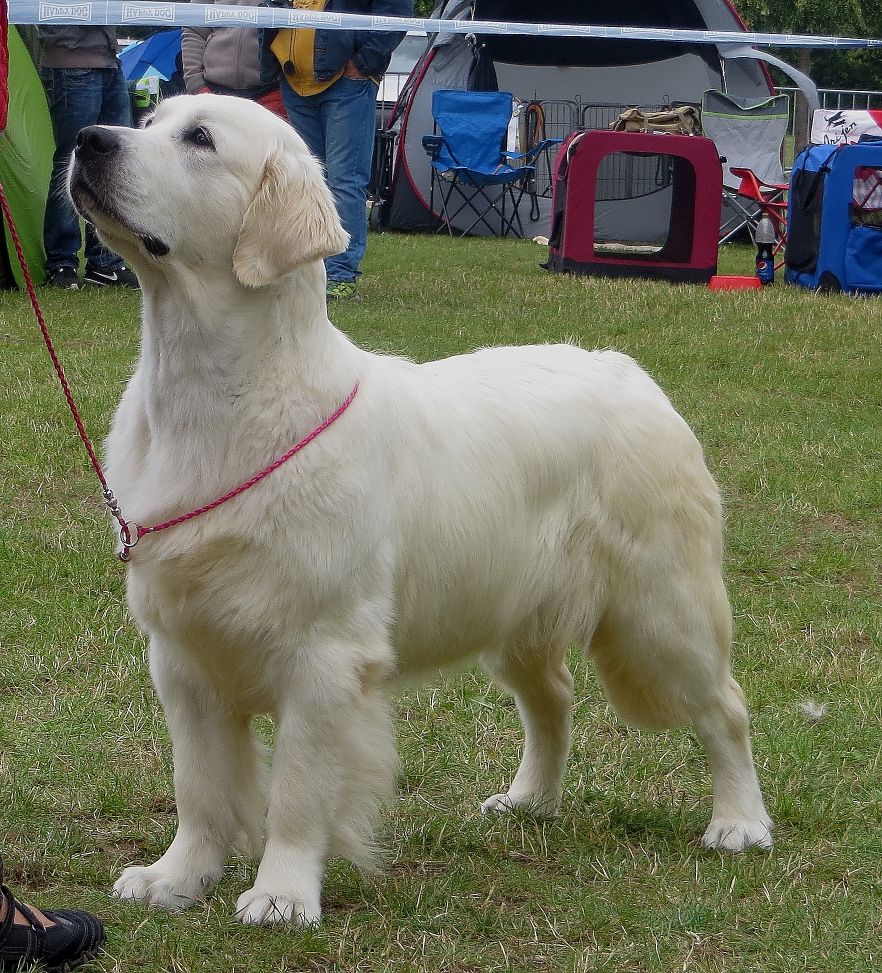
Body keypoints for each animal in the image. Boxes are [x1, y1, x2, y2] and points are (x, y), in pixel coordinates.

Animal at [69, 97, 768, 928]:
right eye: (151, 119)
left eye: (200, 139)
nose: (87, 139)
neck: (215, 393)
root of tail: (630, 372)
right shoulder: (181, 652)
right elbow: (200, 786)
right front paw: (176, 877)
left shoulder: (324, 654)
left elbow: (296, 792)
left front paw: (282, 892)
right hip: (514, 612)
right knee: (554, 700)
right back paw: (529, 800)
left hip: (662, 611)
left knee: (725, 706)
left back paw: (740, 821)